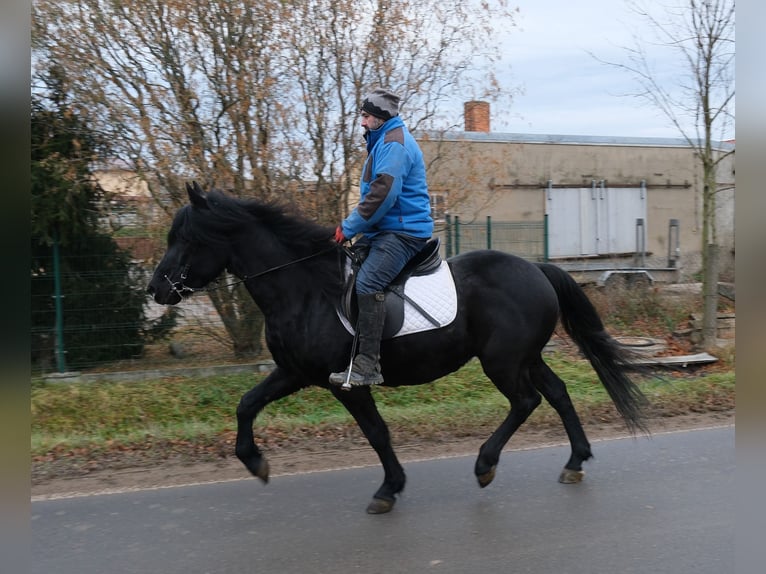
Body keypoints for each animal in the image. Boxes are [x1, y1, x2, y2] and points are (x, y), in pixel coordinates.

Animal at [147, 181, 649, 514]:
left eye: (188, 239)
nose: (156, 289)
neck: (305, 289)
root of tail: (536, 269)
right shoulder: (294, 372)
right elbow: (246, 404)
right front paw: (255, 462)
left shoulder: (345, 383)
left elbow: (377, 433)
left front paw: (389, 489)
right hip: (525, 357)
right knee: (559, 393)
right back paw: (575, 461)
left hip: (503, 362)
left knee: (526, 401)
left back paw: (485, 464)